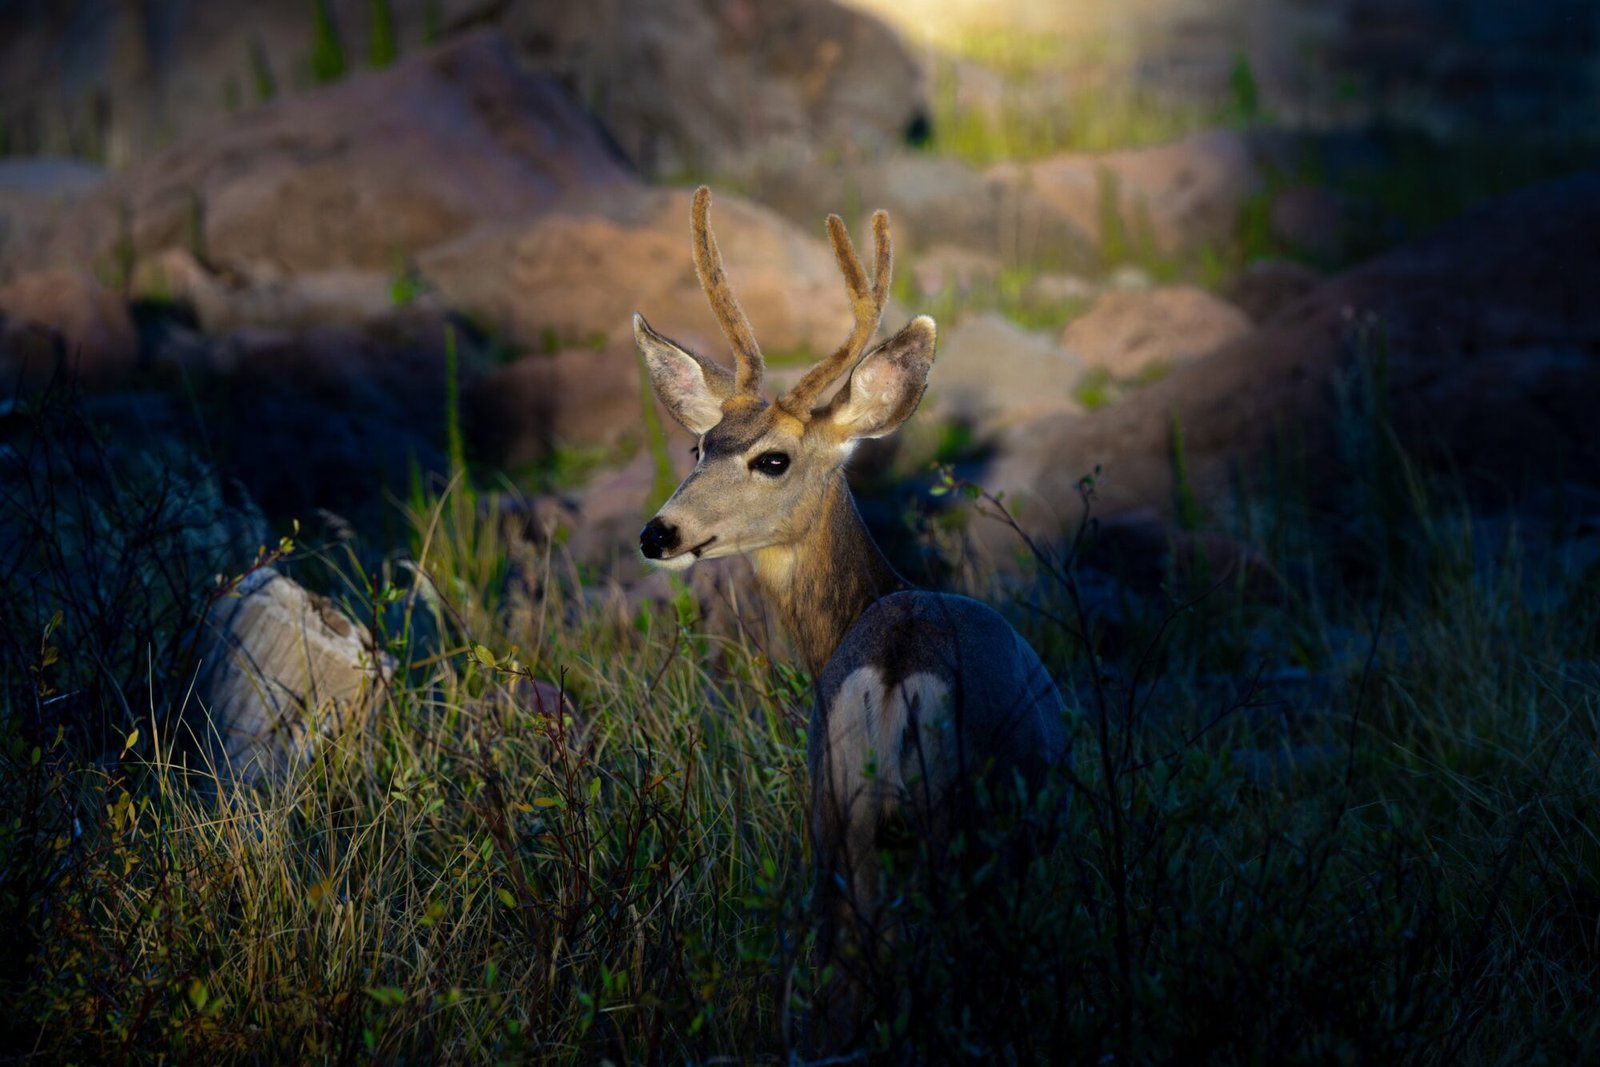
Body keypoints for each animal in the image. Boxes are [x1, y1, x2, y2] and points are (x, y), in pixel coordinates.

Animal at [634, 186, 1067, 1040]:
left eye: (769, 457)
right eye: (700, 447)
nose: (657, 532)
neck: (874, 596)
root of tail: (897, 667)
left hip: (833, 812)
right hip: (945, 821)